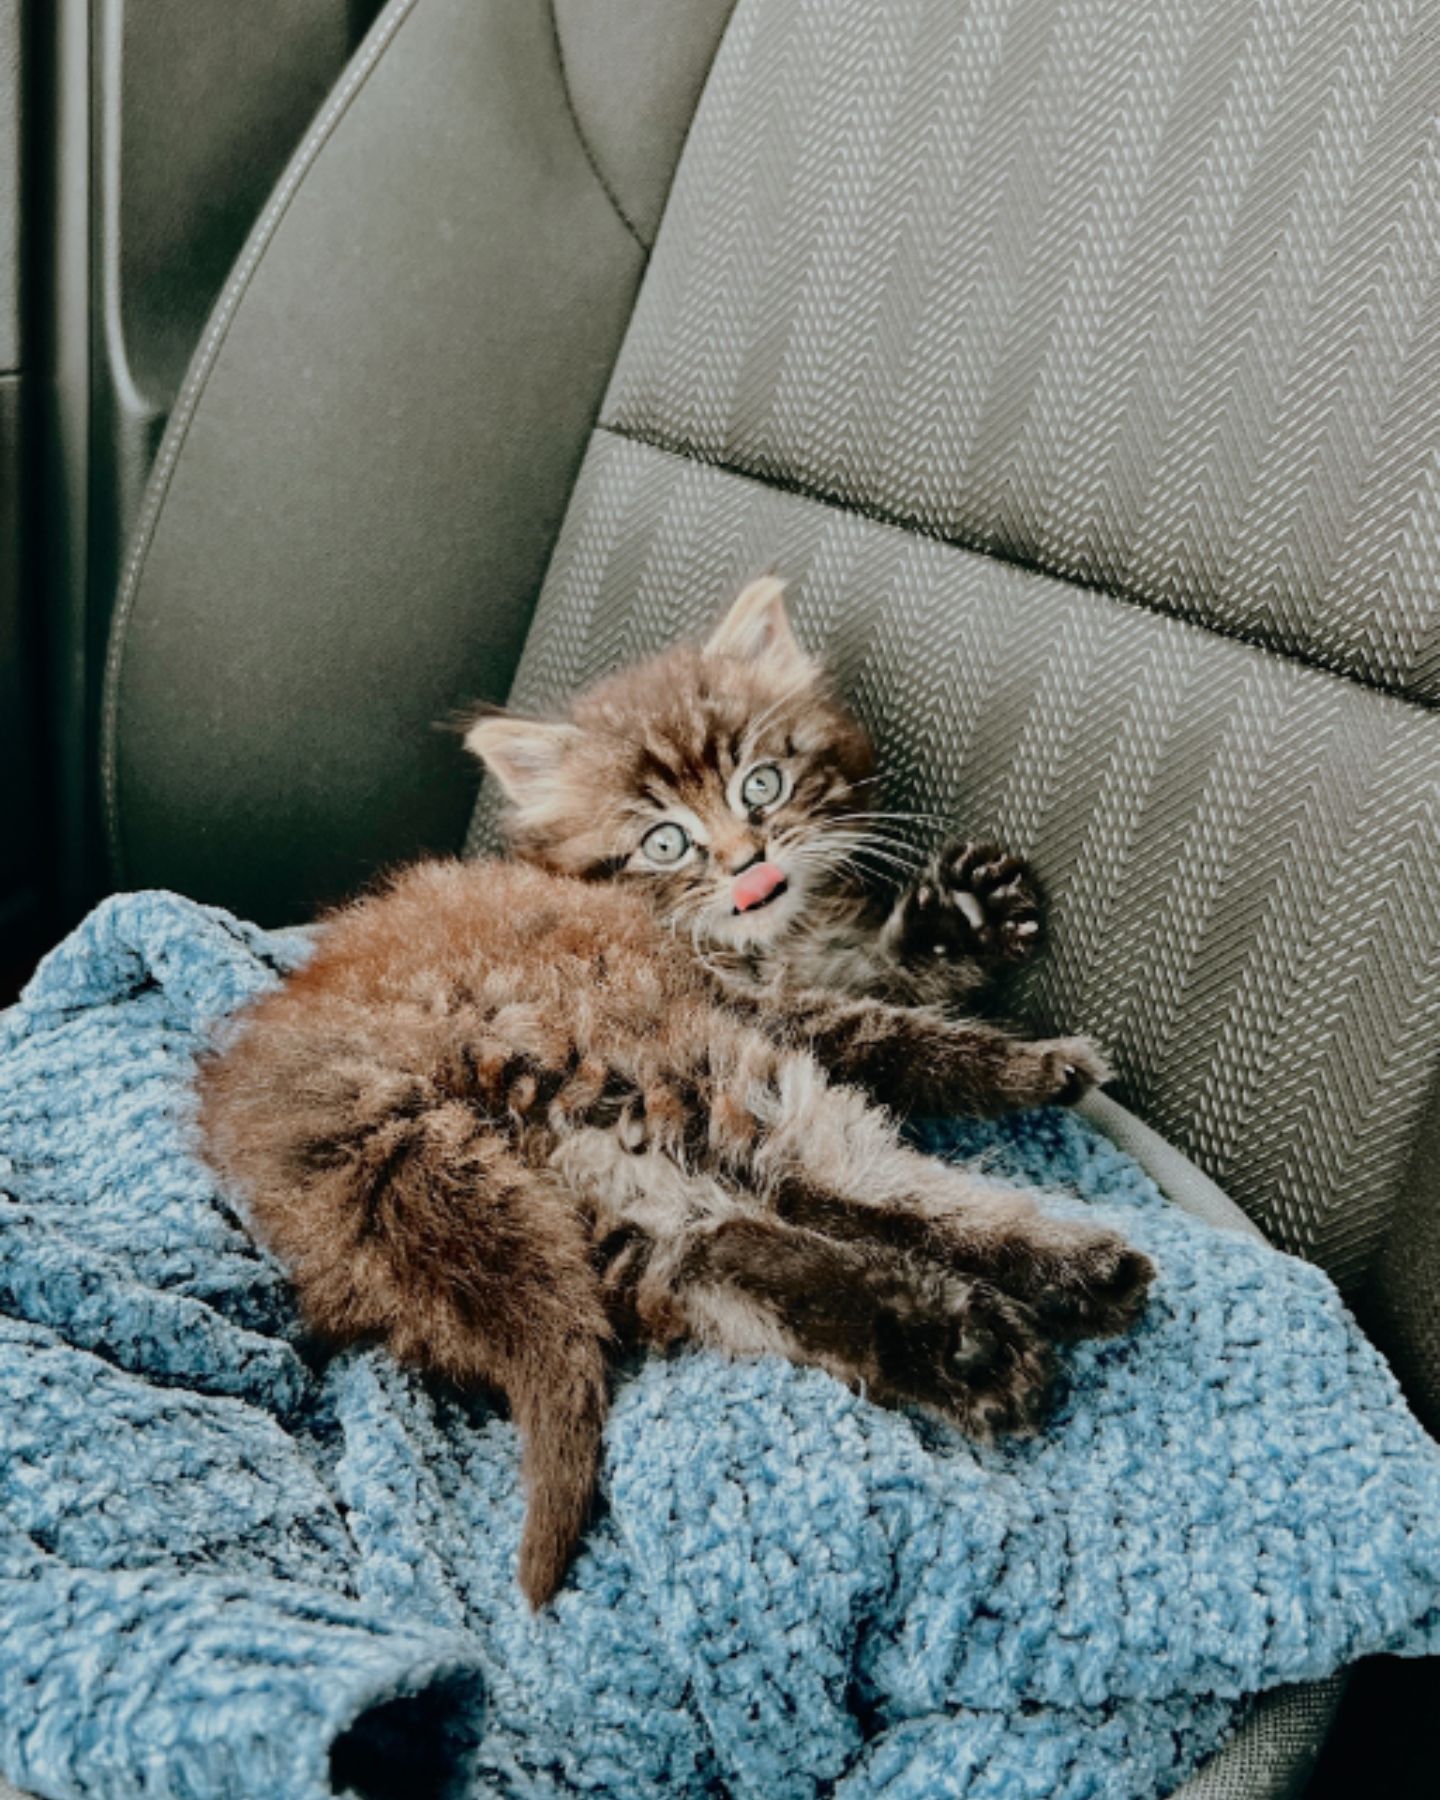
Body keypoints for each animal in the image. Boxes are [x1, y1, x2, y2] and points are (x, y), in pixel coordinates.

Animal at [197, 576, 1152, 1605]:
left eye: (760, 784)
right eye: (666, 841)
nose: (749, 861)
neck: (739, 934)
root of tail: (362, 1103)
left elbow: (875, 971)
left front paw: (963, 913)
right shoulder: (761, 1009)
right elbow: (892, 1031)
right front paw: (1029, 1056)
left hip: (615, 1200)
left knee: (729, 1254)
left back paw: (976, 1342)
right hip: (668, 1061)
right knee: (845, 1185)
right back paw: (1053, 1283)